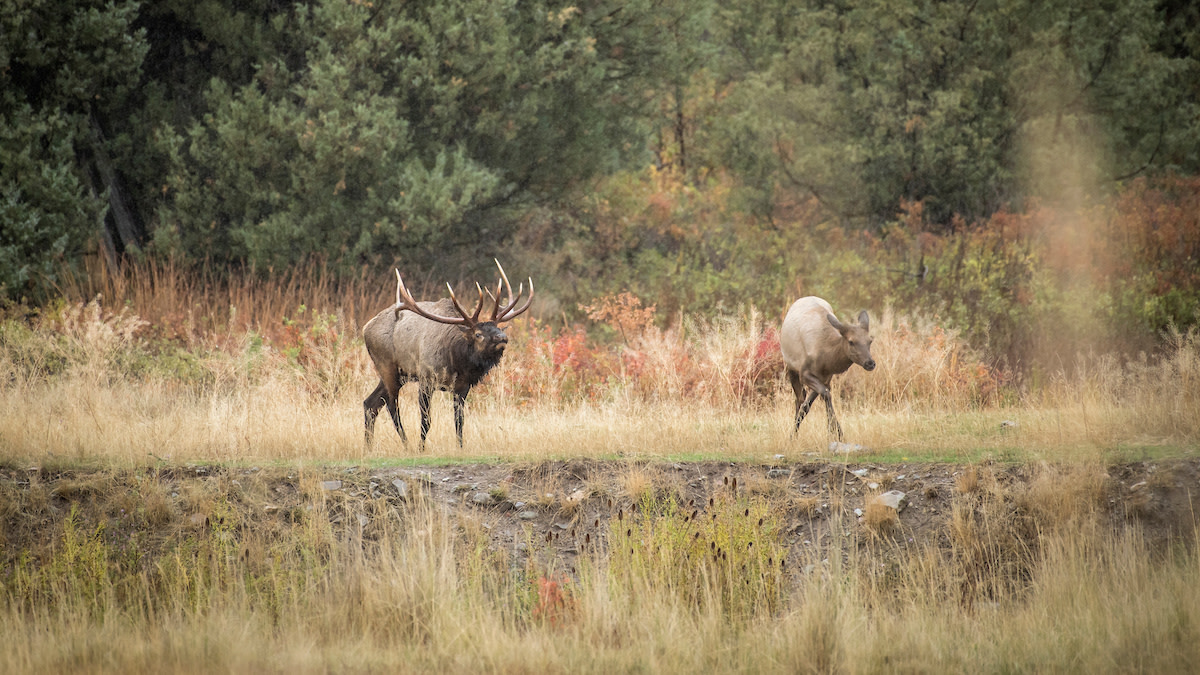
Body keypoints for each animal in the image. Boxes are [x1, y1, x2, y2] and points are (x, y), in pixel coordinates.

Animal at [362, 260, 533, 451]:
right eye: (478, 334)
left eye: (496, 327)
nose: (502, 337)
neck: (456, 362)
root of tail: (365, 328)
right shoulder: (426, 379)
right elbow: (426, 421)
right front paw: (421, 449)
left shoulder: (462, 387)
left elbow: (459, 421)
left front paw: (460, 448)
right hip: (387, 366)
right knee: (391, 406)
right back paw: (406, 445)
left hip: (398, 375)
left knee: (370, 403)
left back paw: (368, 447)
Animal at [780, 296, 876, 441]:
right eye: (851, 341)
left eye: (870, 341)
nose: (870, 363)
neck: (826, 359)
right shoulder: (804, 373)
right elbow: (821, 397)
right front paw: (837, 432)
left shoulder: (826, 377)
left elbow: (817, 399)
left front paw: (833, 431)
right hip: (791, 368)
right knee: (799, 399)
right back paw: (793, 434)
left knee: (803, 401)